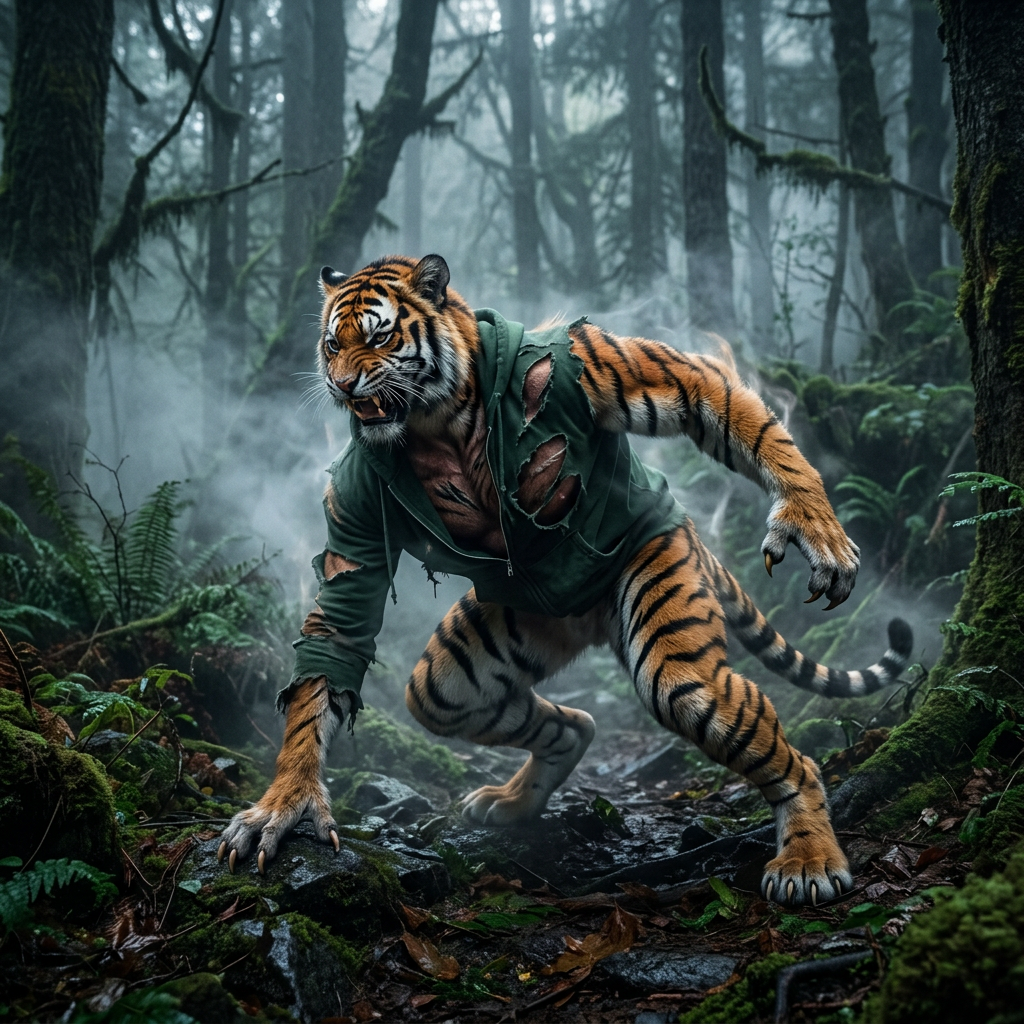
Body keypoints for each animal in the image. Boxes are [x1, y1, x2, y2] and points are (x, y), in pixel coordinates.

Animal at [218, 254, 912, 907]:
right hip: (471, 662)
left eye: (379, 338)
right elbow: (334, 644)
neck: (438, 418)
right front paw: (287, 805)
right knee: (563, 720)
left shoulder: (604, 365)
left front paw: (814, 527)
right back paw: (516, 800)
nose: (340, 384)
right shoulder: (358, 505)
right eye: (332, 346)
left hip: (670, 621)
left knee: (783, 753)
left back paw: (808, 860)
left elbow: (722, 398)